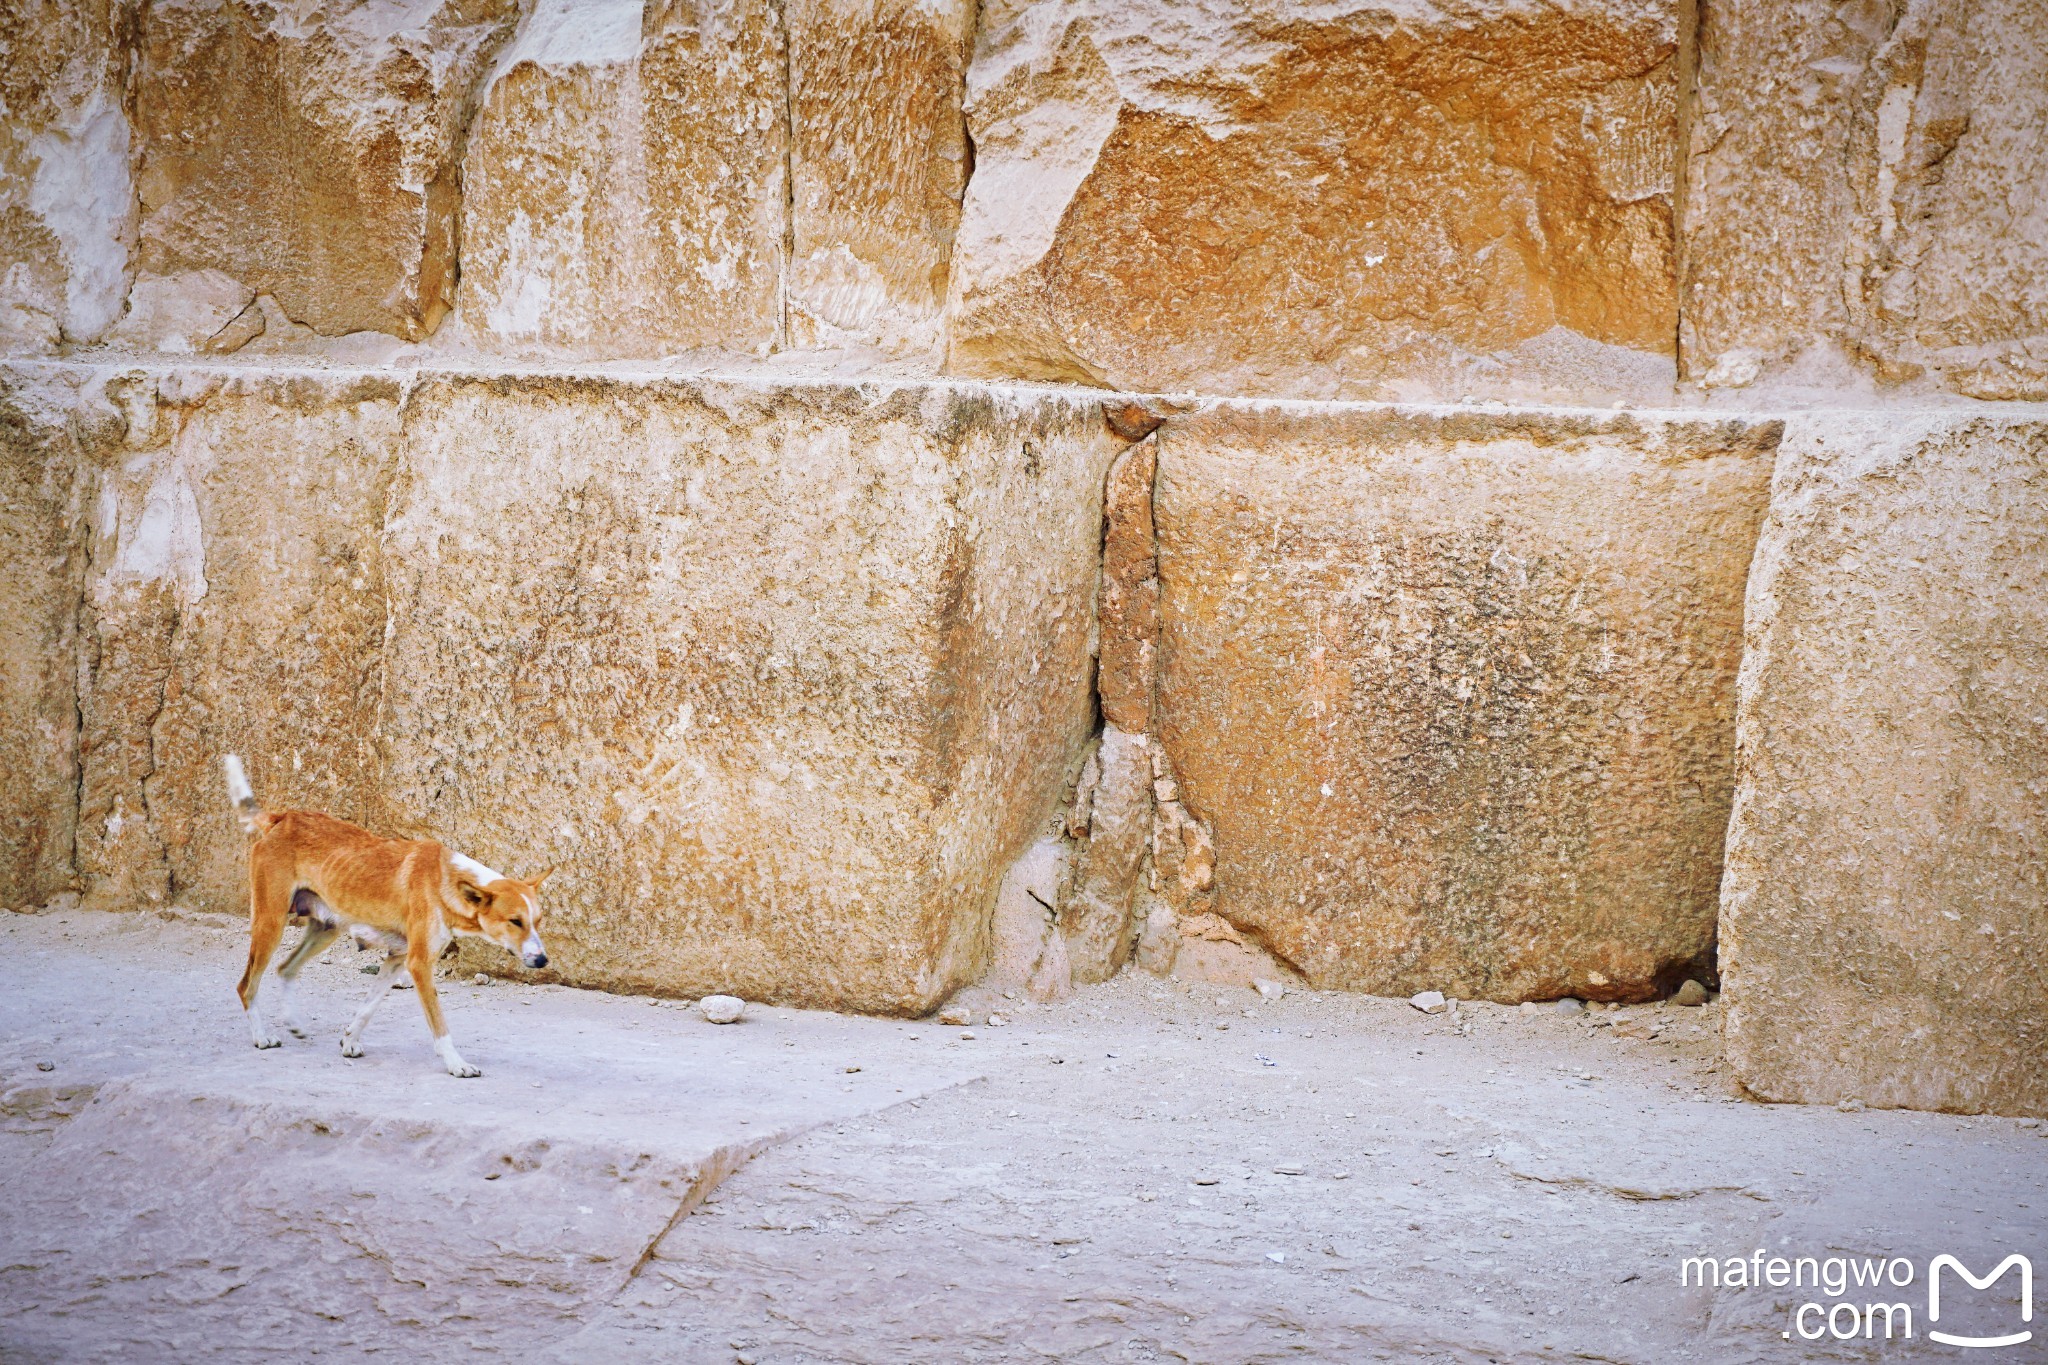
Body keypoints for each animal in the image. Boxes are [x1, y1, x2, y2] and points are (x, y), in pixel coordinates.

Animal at [226, 757, 552, 1080]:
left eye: (537, 921)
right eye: (515, 921)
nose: (542, 960)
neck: (444, 881)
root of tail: (282, 818)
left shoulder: (398, 957)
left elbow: (368, 1006)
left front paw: (349, 1041)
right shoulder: (418, 964)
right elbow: (439, 1025)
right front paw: (456, 1063)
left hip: (325, 930)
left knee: (285, 969)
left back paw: (293, 1023)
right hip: (271, 923)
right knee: (246, 985)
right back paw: (261, 1037)